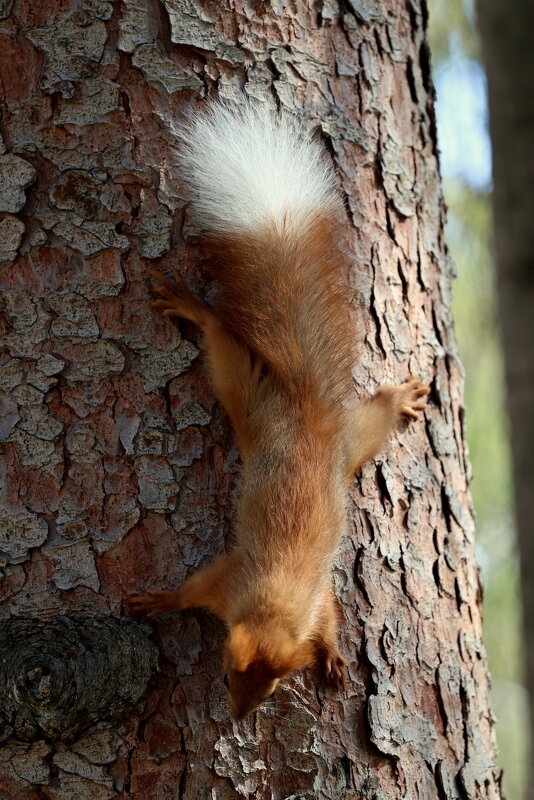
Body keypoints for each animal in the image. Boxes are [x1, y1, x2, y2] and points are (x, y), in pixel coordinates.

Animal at [131, 100, 432, 720]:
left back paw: (400, 397)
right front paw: (162, 598)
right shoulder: (226, 581)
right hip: (251, 398)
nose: (239, 717)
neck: (277, 601)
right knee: (223, 346)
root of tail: (307, 414)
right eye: (226, 676)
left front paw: (334, 653)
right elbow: (190, 591)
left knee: (375, 413)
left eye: (270, 690)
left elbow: (331, 618)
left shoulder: (315, 599)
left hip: (348, 440)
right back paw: (196, 310)